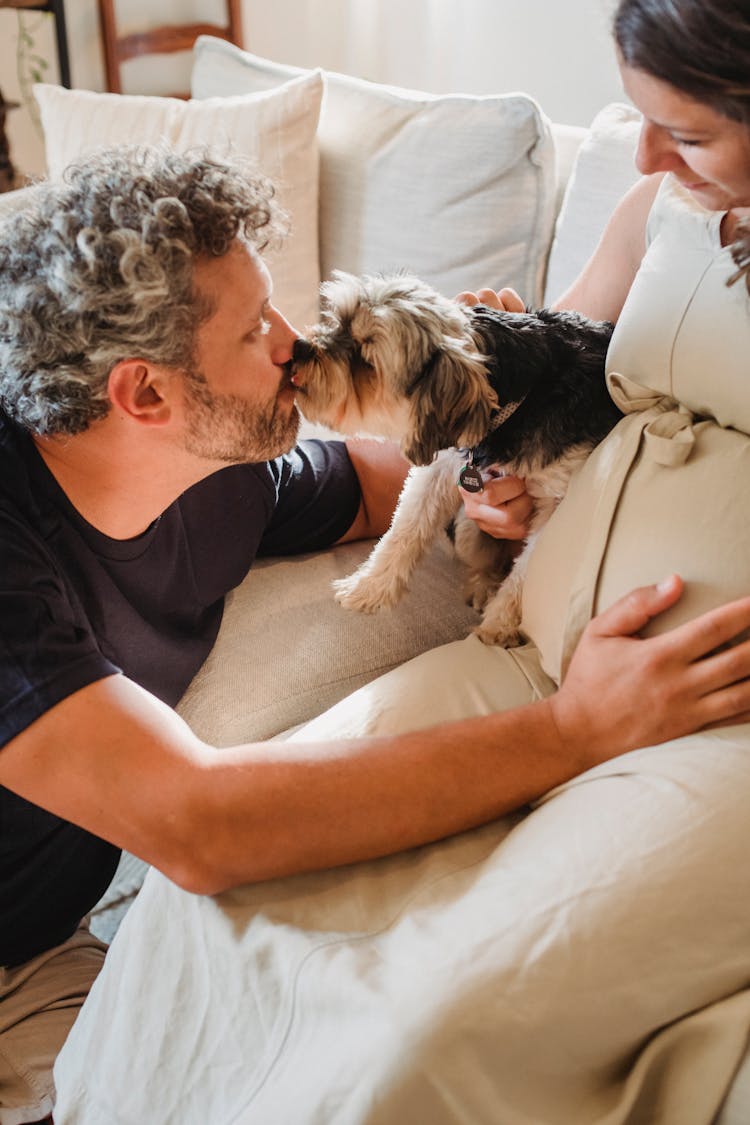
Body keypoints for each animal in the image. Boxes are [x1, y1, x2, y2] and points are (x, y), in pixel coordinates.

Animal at [290, 268, 620, 648]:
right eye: (336, 321)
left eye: (365, 358)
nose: (299, 347)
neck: (522, 393)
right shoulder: (441, 467)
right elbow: (403, 530)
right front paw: (368, 587)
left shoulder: (559, 499)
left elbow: (527, 573)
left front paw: (499, 626)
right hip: (466, 526)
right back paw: (482, 586)